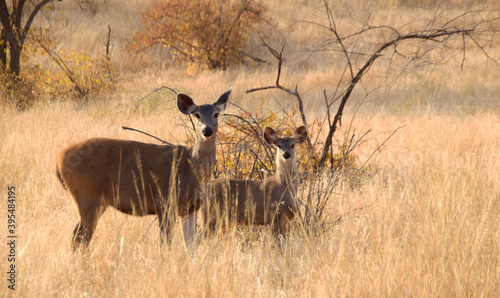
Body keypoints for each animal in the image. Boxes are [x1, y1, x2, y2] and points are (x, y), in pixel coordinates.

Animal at [55, 89, 231, 251]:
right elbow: (165, 245)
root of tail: (59, 161)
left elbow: (191, 246)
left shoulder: (191, 208)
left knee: (77, 238)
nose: (207, 130)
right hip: (88, 197)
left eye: (216, 114)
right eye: (197, 115)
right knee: (79, 239)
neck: (191, 168)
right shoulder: (165, 203)